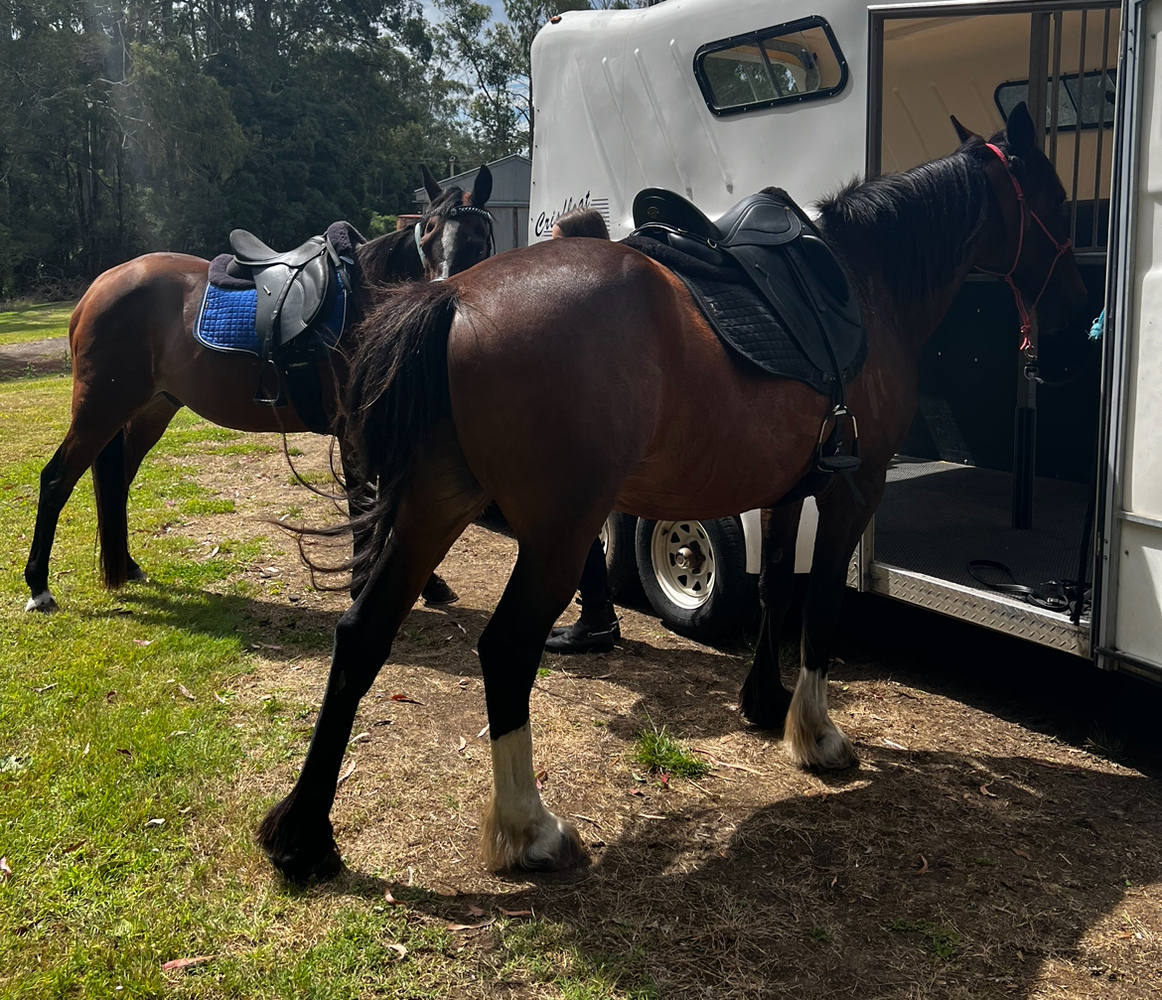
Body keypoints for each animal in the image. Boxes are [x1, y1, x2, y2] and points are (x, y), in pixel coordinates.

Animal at [22, 164, 496, 613]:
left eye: (478, 238)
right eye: (428, 233)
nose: (441, 294)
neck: (366, 306)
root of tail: (97, 289)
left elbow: (388, 511)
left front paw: (427, 584)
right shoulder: (353, 433)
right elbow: (364, 507)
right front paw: (362, 586)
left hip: (149, 411)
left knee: (117, 481)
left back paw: (128, 565)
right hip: (100, 408)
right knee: (56, 480)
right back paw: (39, 587)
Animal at [256, 104, 1088, 881]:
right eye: (1058, 200)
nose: (1076, 317)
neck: (865, 281)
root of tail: (454, 299)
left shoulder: (788, 488)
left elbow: (777, 588)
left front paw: (763, 704)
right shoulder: (856, 489)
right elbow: (822, 603)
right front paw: (817, 734)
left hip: (432, 509)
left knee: (362, 634)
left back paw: (302, 833)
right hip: (558, 534)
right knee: (505, 650)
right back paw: (530, 830)